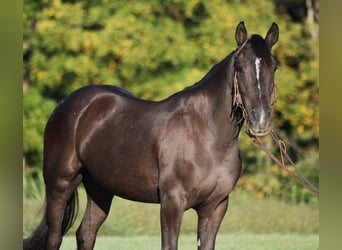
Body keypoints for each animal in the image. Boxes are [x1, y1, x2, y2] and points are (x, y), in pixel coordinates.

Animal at [24, 22, 280, 250]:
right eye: (240, 67)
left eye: (274, 67)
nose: (261, 121)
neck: (207, 136)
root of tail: (66, 106)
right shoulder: (171, 203)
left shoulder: (215, 207)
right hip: (59, 184)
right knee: (55, 238)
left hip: (100, 189)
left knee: (86, 233)